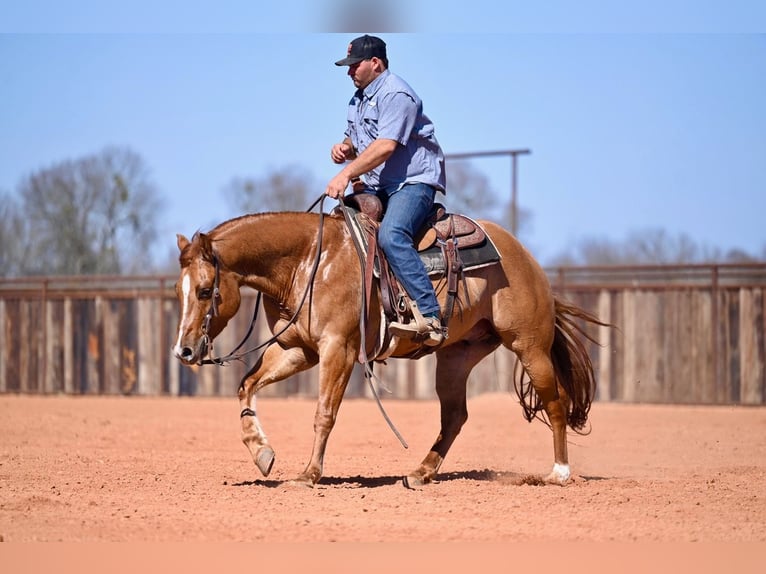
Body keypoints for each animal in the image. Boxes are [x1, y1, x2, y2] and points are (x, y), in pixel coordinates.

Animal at [172, 207, 608, 490]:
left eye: (205, 290)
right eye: (179, 290)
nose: (184, 352)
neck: (308, 261)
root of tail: (527, 260)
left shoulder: (339, 349)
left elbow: (324, 414)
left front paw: (308, 475)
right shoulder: (298, 349)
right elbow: (245, 386)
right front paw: (262, 452)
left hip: (529, 346)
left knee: (555, 401)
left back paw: (559, 473)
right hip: (457, 355)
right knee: (455, 416)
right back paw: (420, 473)